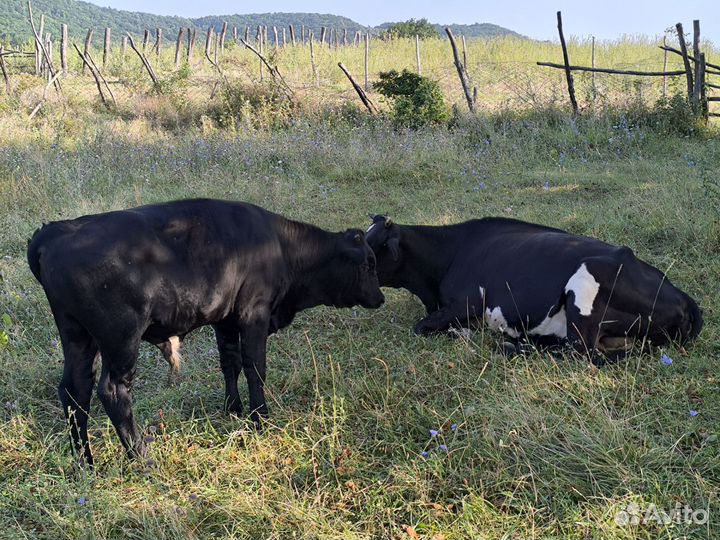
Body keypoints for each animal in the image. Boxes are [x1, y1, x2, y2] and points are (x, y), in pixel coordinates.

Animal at [27, 199, 384, 465]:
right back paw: (142, 458)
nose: (380, 297)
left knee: (74, 391)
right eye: (369, 263)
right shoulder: (254, 313)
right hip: (120, 339)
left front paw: (233, 408)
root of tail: (58, 230)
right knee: (112, 391)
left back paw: (84, 461)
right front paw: (260, 418)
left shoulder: (225, 320)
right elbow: (255, 367)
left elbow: (230, 363)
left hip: (77, 336)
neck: (280, 246)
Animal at [365, 215, 702, 362]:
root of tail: (683, 297)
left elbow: (421, 326)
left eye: (373, 252)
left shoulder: (469, 301)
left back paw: (515, 345)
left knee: (581, 353)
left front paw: (464, 333)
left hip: (584, 288)